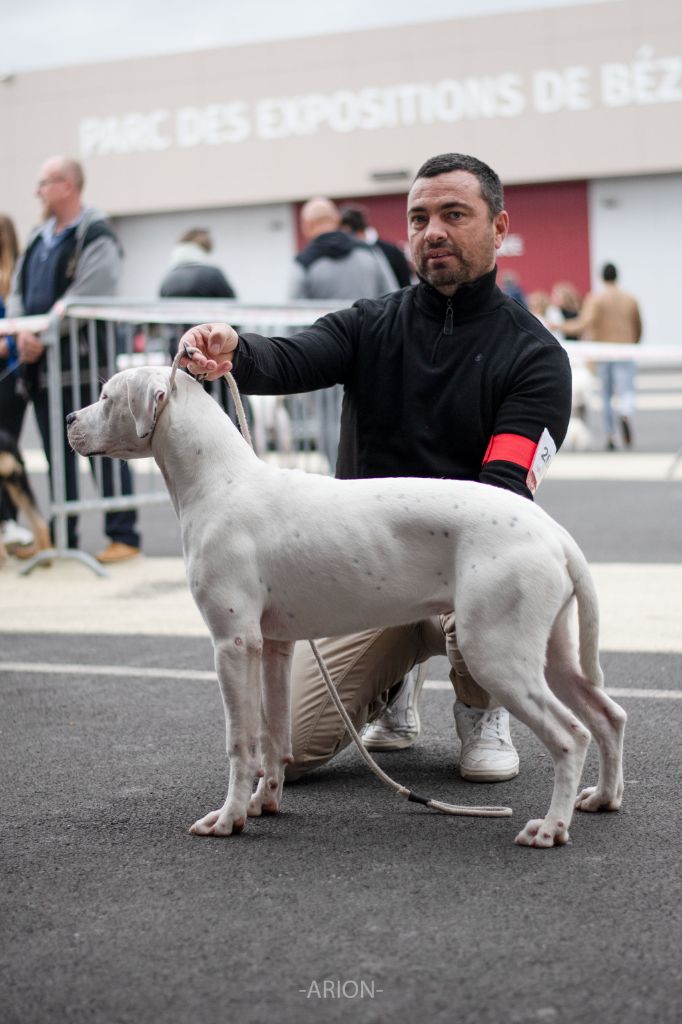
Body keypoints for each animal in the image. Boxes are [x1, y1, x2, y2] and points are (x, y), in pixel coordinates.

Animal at [66, 368, 622, 847]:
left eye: (107, 396)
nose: (69, 418)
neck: (218, 480)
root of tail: (553, 532)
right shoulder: (274, 647)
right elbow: (273, 735)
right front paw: (264, 802)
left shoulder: (233, 646)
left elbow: (240, 743)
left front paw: (229, 818)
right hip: (554, 654)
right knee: (608, 716)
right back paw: (603, 798)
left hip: (495, 652)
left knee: (571, 736)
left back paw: (550, 828)